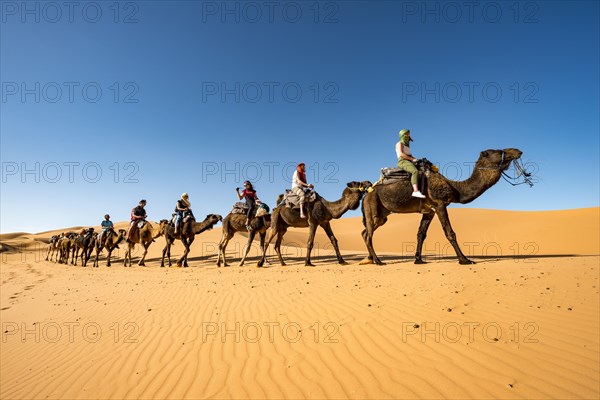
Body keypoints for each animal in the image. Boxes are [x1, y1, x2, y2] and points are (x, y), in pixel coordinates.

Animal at [364, 148, 524, 264]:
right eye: (498, 151)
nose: (517, 151)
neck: (455, 188)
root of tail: (367, 193)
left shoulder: (429, 211)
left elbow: (421, 234)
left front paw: (418, 260)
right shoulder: (440, 204)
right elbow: (450, 233)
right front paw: (464, 259)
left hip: (383, 215)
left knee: (366, 232)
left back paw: (372, 259)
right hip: (373, 208)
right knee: (368, 234)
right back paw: (378, 261)